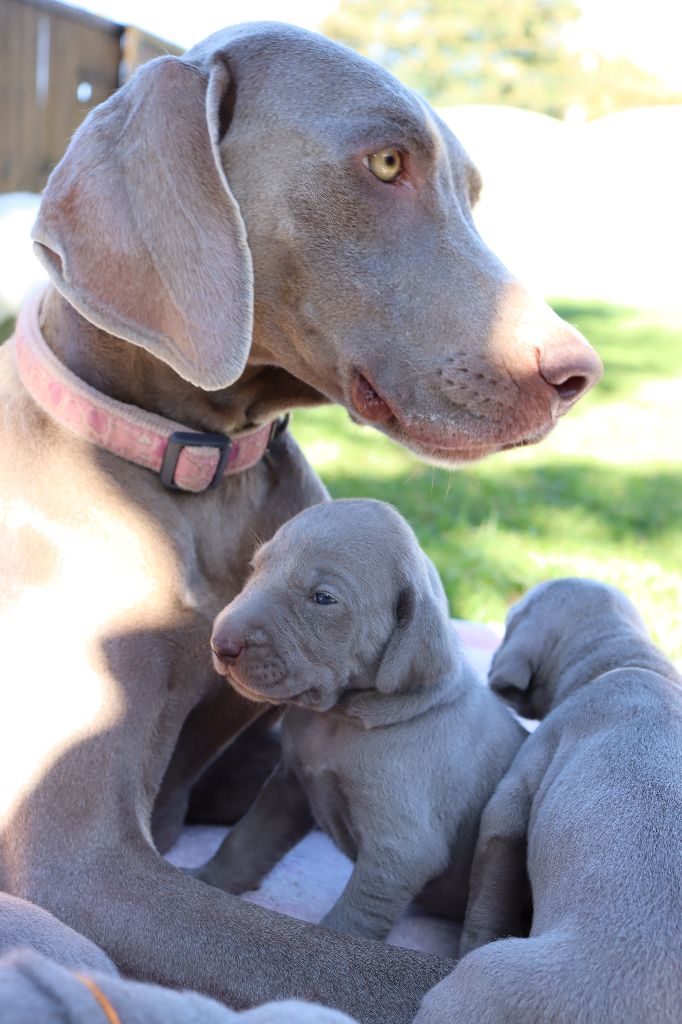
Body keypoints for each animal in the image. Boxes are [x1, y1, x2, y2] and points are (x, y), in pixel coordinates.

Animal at [193, 499, 522, 937]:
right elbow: (246, 840)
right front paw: (204, 880)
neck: (339, 721)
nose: (220, 643)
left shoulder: (400, 849)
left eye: (323, 598)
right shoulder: (288, 787)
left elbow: (354, 918)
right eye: (255, 569)